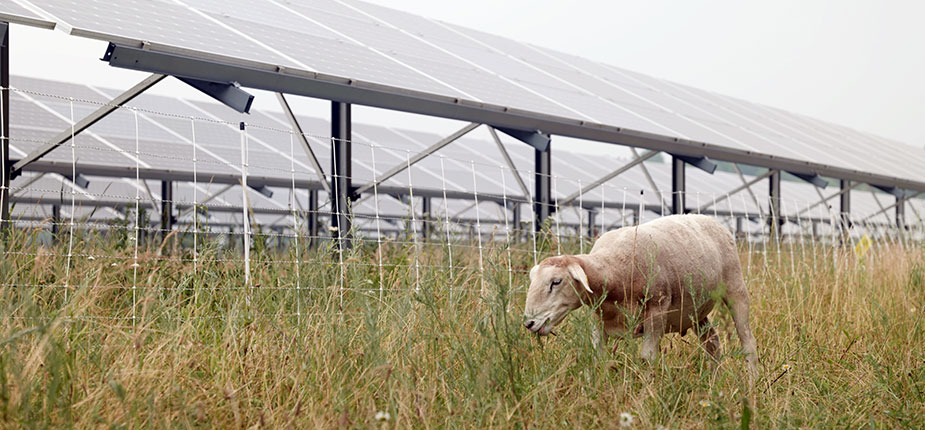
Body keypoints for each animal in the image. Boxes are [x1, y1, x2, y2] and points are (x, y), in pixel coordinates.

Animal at [523, 214, 758, 376]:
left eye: (556, 282)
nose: (529, 323)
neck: (613, 269)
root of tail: (710, 219)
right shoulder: (598, 320)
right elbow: (599, 357)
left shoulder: (657, 312)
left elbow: (646, 359)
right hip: (695, 313)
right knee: (713, 343)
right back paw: (712, 380)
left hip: (736, 287)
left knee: (747, 341)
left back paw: (751, 382)